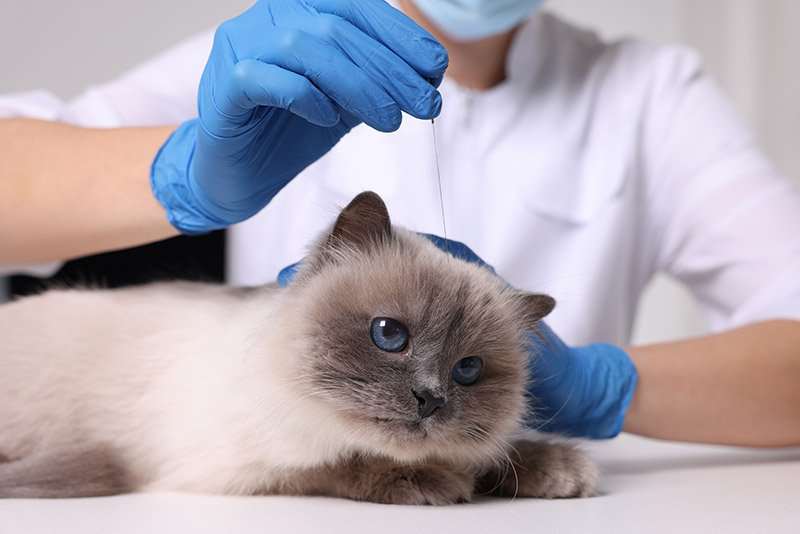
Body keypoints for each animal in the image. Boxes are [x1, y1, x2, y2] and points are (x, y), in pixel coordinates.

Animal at [0, 193, 596, 506]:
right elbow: (337, 465)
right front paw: (435, 483)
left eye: (468, 370)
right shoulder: (233, 469)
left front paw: (562, 470)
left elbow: (498, 454)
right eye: (389, 335)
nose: (429, 399)